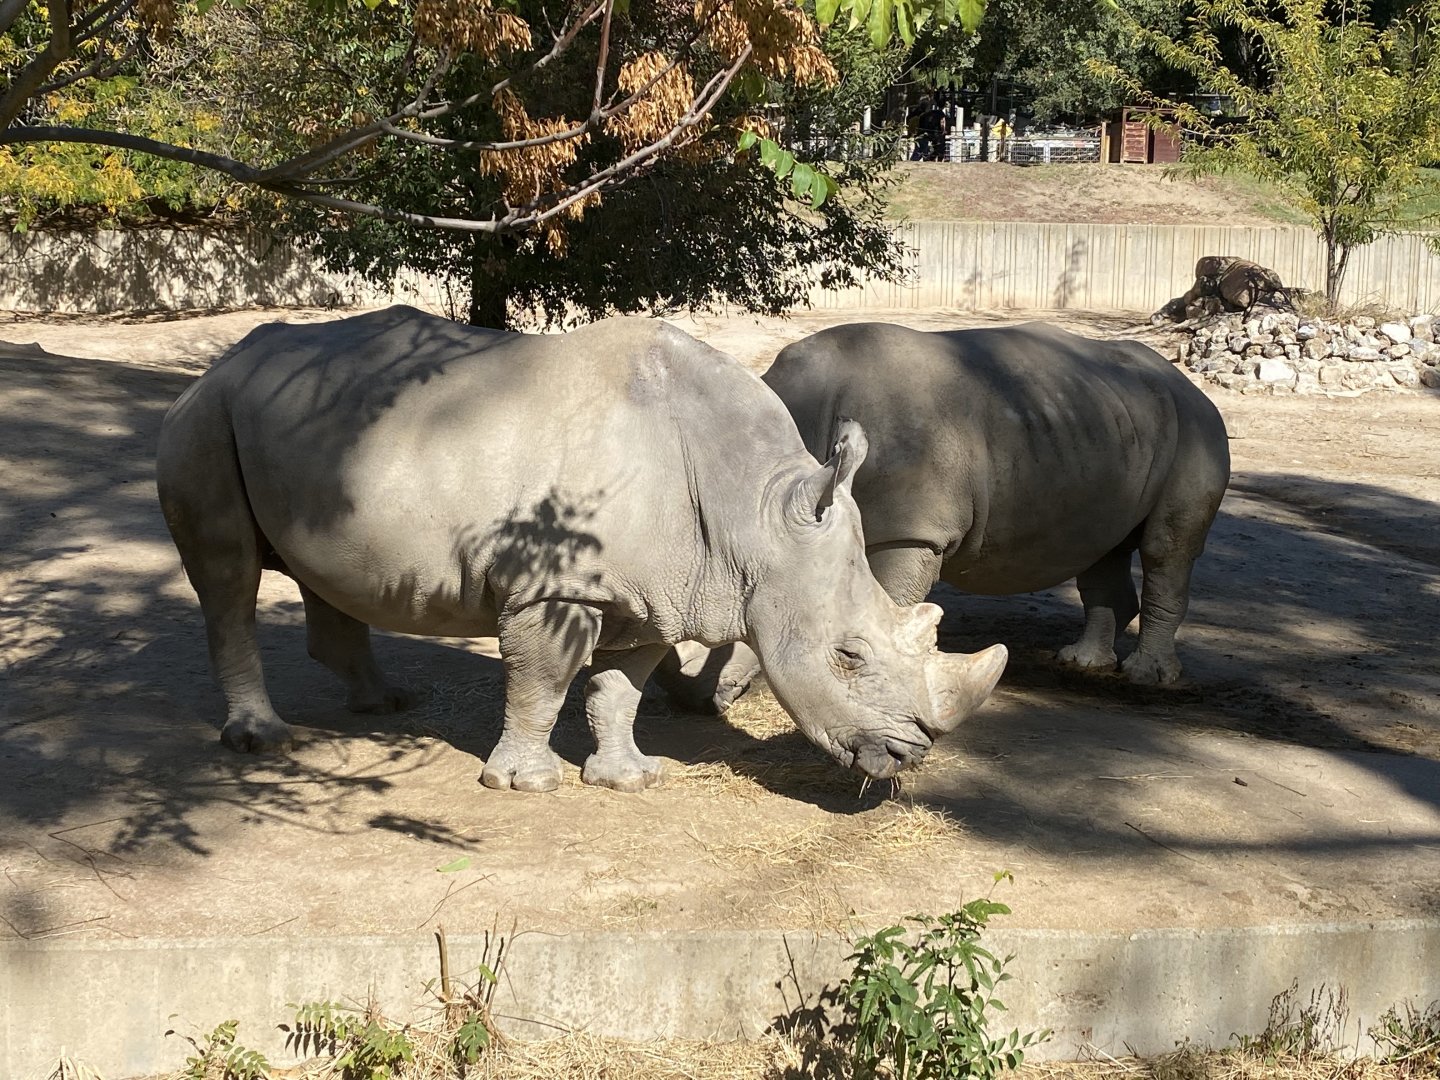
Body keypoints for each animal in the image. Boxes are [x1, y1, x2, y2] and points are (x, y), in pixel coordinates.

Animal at [155, 307, 1007, 792]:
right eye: (848, 657)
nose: (911, 756)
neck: (753, 513)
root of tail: (223, 359)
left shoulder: (658, 588)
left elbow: (620, 687)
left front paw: (630, 779)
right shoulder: (554, 582)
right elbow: (544, 680)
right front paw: (526, 786)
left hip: (306, 428)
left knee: (321, 574)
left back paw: (385, 704)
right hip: (208, 415)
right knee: (228, 576)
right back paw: (262, 740)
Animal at [656, 321, 1230, 714]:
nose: (690, 699)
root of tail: (1187, 382)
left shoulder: (911, 532)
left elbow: (885, 604)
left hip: (1197, 426)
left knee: (1166, 548)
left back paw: (1145, 677)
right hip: (1106, 428)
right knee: (1100, 547)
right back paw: (1081, 662)